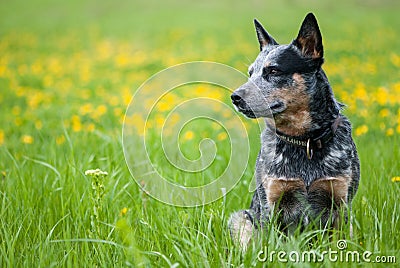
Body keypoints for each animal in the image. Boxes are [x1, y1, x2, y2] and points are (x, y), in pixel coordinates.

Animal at [227, 13, 360, 250]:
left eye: (273, 70)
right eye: (250, 73)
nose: (235, 97)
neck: (303, 140)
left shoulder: (340, 201)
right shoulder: (272, 203)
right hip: (241, 217)